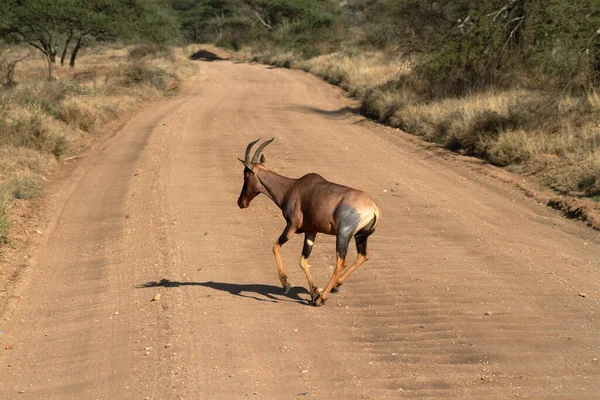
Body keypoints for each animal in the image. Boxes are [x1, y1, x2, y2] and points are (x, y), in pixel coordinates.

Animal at [236, 138, 380, 306]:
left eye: (245, 175)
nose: (241, 202)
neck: (293, 187)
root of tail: (373, 208)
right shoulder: (311, 232)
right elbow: (303, 260)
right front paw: (313, 291)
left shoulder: (292, 226)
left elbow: (275, 247)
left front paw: (286, 284)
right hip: (360, 236)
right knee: (363, 256)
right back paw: (335, 286)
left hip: (343, 235)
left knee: (340, 262)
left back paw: (322, 298)